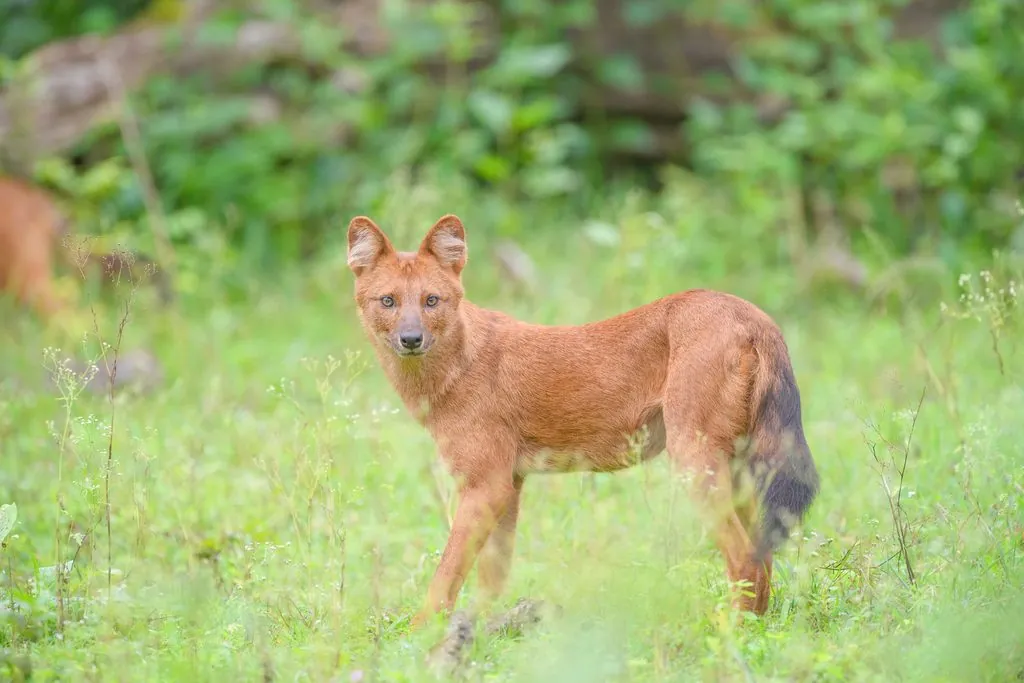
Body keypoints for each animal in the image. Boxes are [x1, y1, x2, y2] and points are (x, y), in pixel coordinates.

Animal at [345, 214, 820, 627]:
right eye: (388, 301)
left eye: (431, 301)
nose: (410, 339)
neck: (454, 367)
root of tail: (754, 316)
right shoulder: (509, 484)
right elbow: (491, 578)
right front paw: (478, 633)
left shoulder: (485, 485)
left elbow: (446, 574)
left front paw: (420, 636)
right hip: (743, 470)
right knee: (764, 555)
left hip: (695, 460)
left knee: (744, 557)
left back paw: (729, 635)